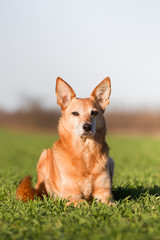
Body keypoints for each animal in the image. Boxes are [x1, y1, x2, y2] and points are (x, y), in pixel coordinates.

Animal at [16, 77, 114, 206]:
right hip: (44, 155)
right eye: (75, 113)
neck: (85, 152)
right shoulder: (71, 196)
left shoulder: (105, 194)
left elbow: (110, 204)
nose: (87, 127)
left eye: (94, 112)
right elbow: (84, 203)